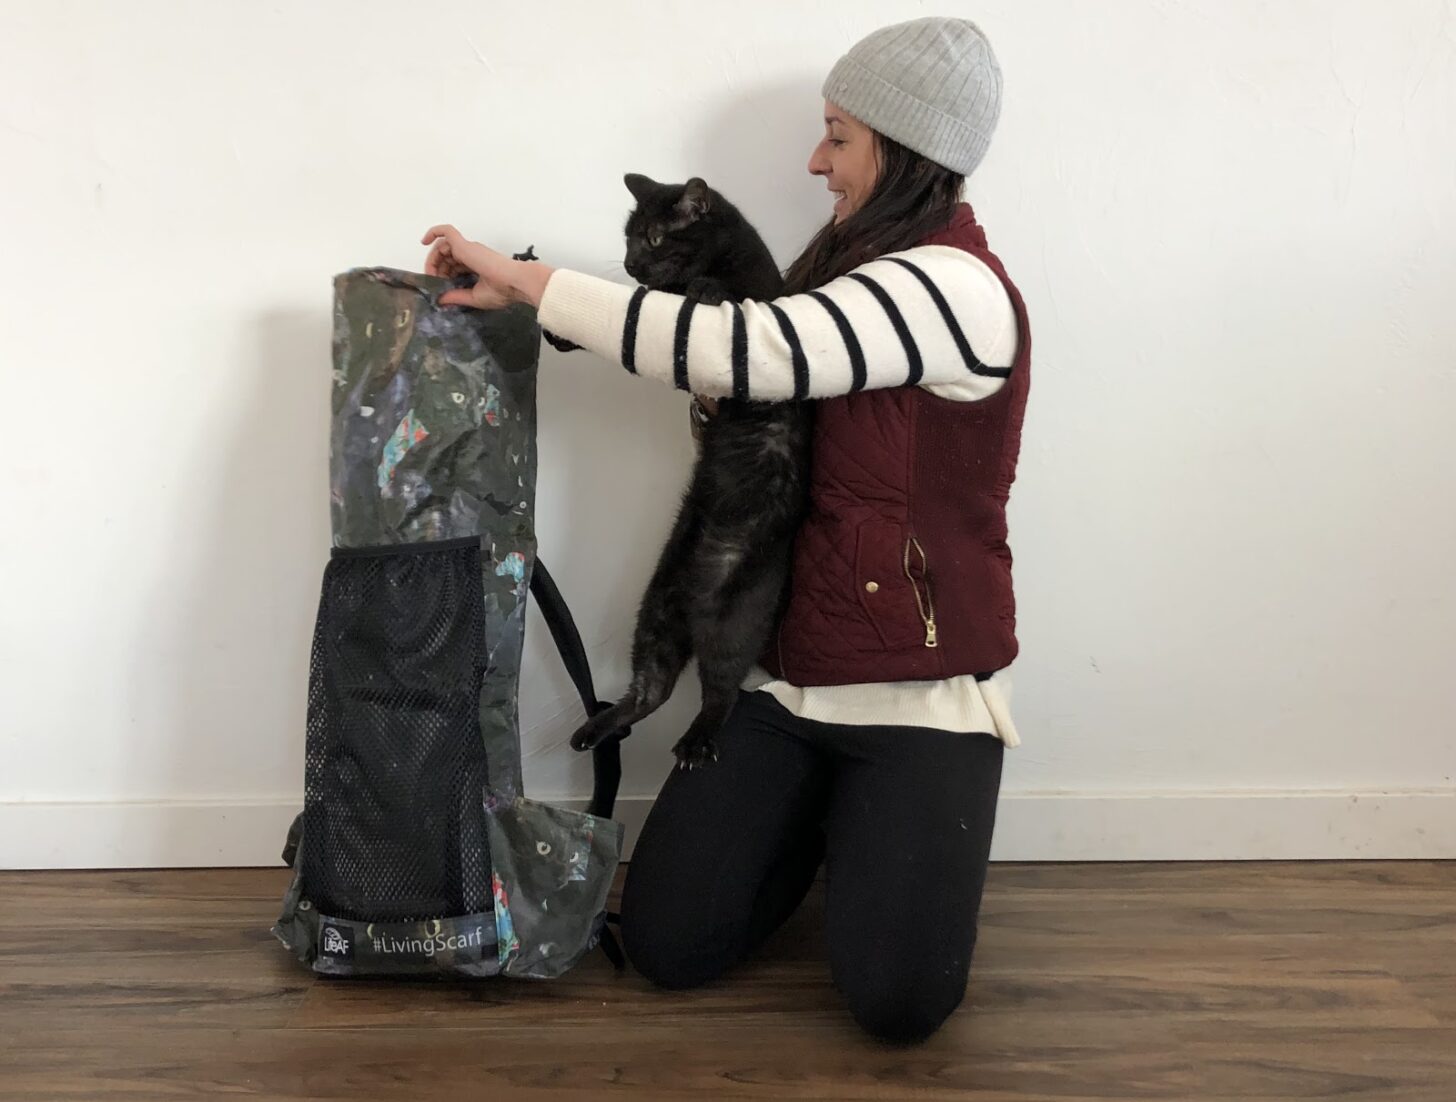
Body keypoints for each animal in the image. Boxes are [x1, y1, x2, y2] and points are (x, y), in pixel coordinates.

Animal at [567, 176, 815, 768]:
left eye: (656, 237)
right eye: (629, 237)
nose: (631, 263)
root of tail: (694, 608)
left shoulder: (754, 310)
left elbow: (711, 294)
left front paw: (704, 287)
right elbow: (636, 311)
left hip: (735, 626)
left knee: (721, 695)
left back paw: (695, 743)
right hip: (655, 612)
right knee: (650, 690)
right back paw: (594, 730)